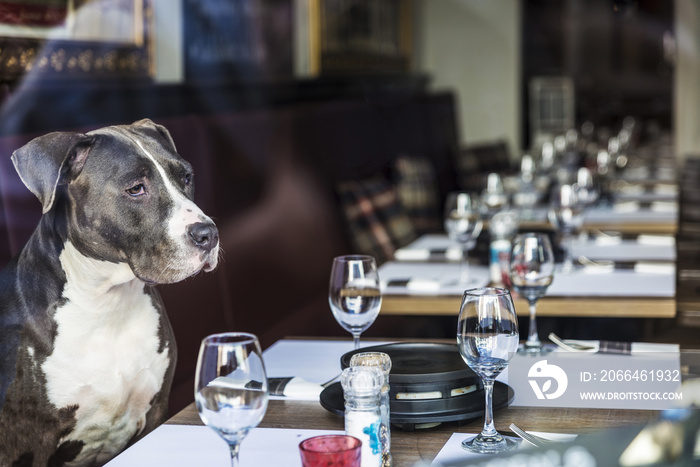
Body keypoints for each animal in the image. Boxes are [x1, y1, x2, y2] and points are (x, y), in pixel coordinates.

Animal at [0, 119, 219, 467]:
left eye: (186, 177)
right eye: (135, 189)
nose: (208, 234)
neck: (107, 306)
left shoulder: (155, 412)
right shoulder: (32, 444)